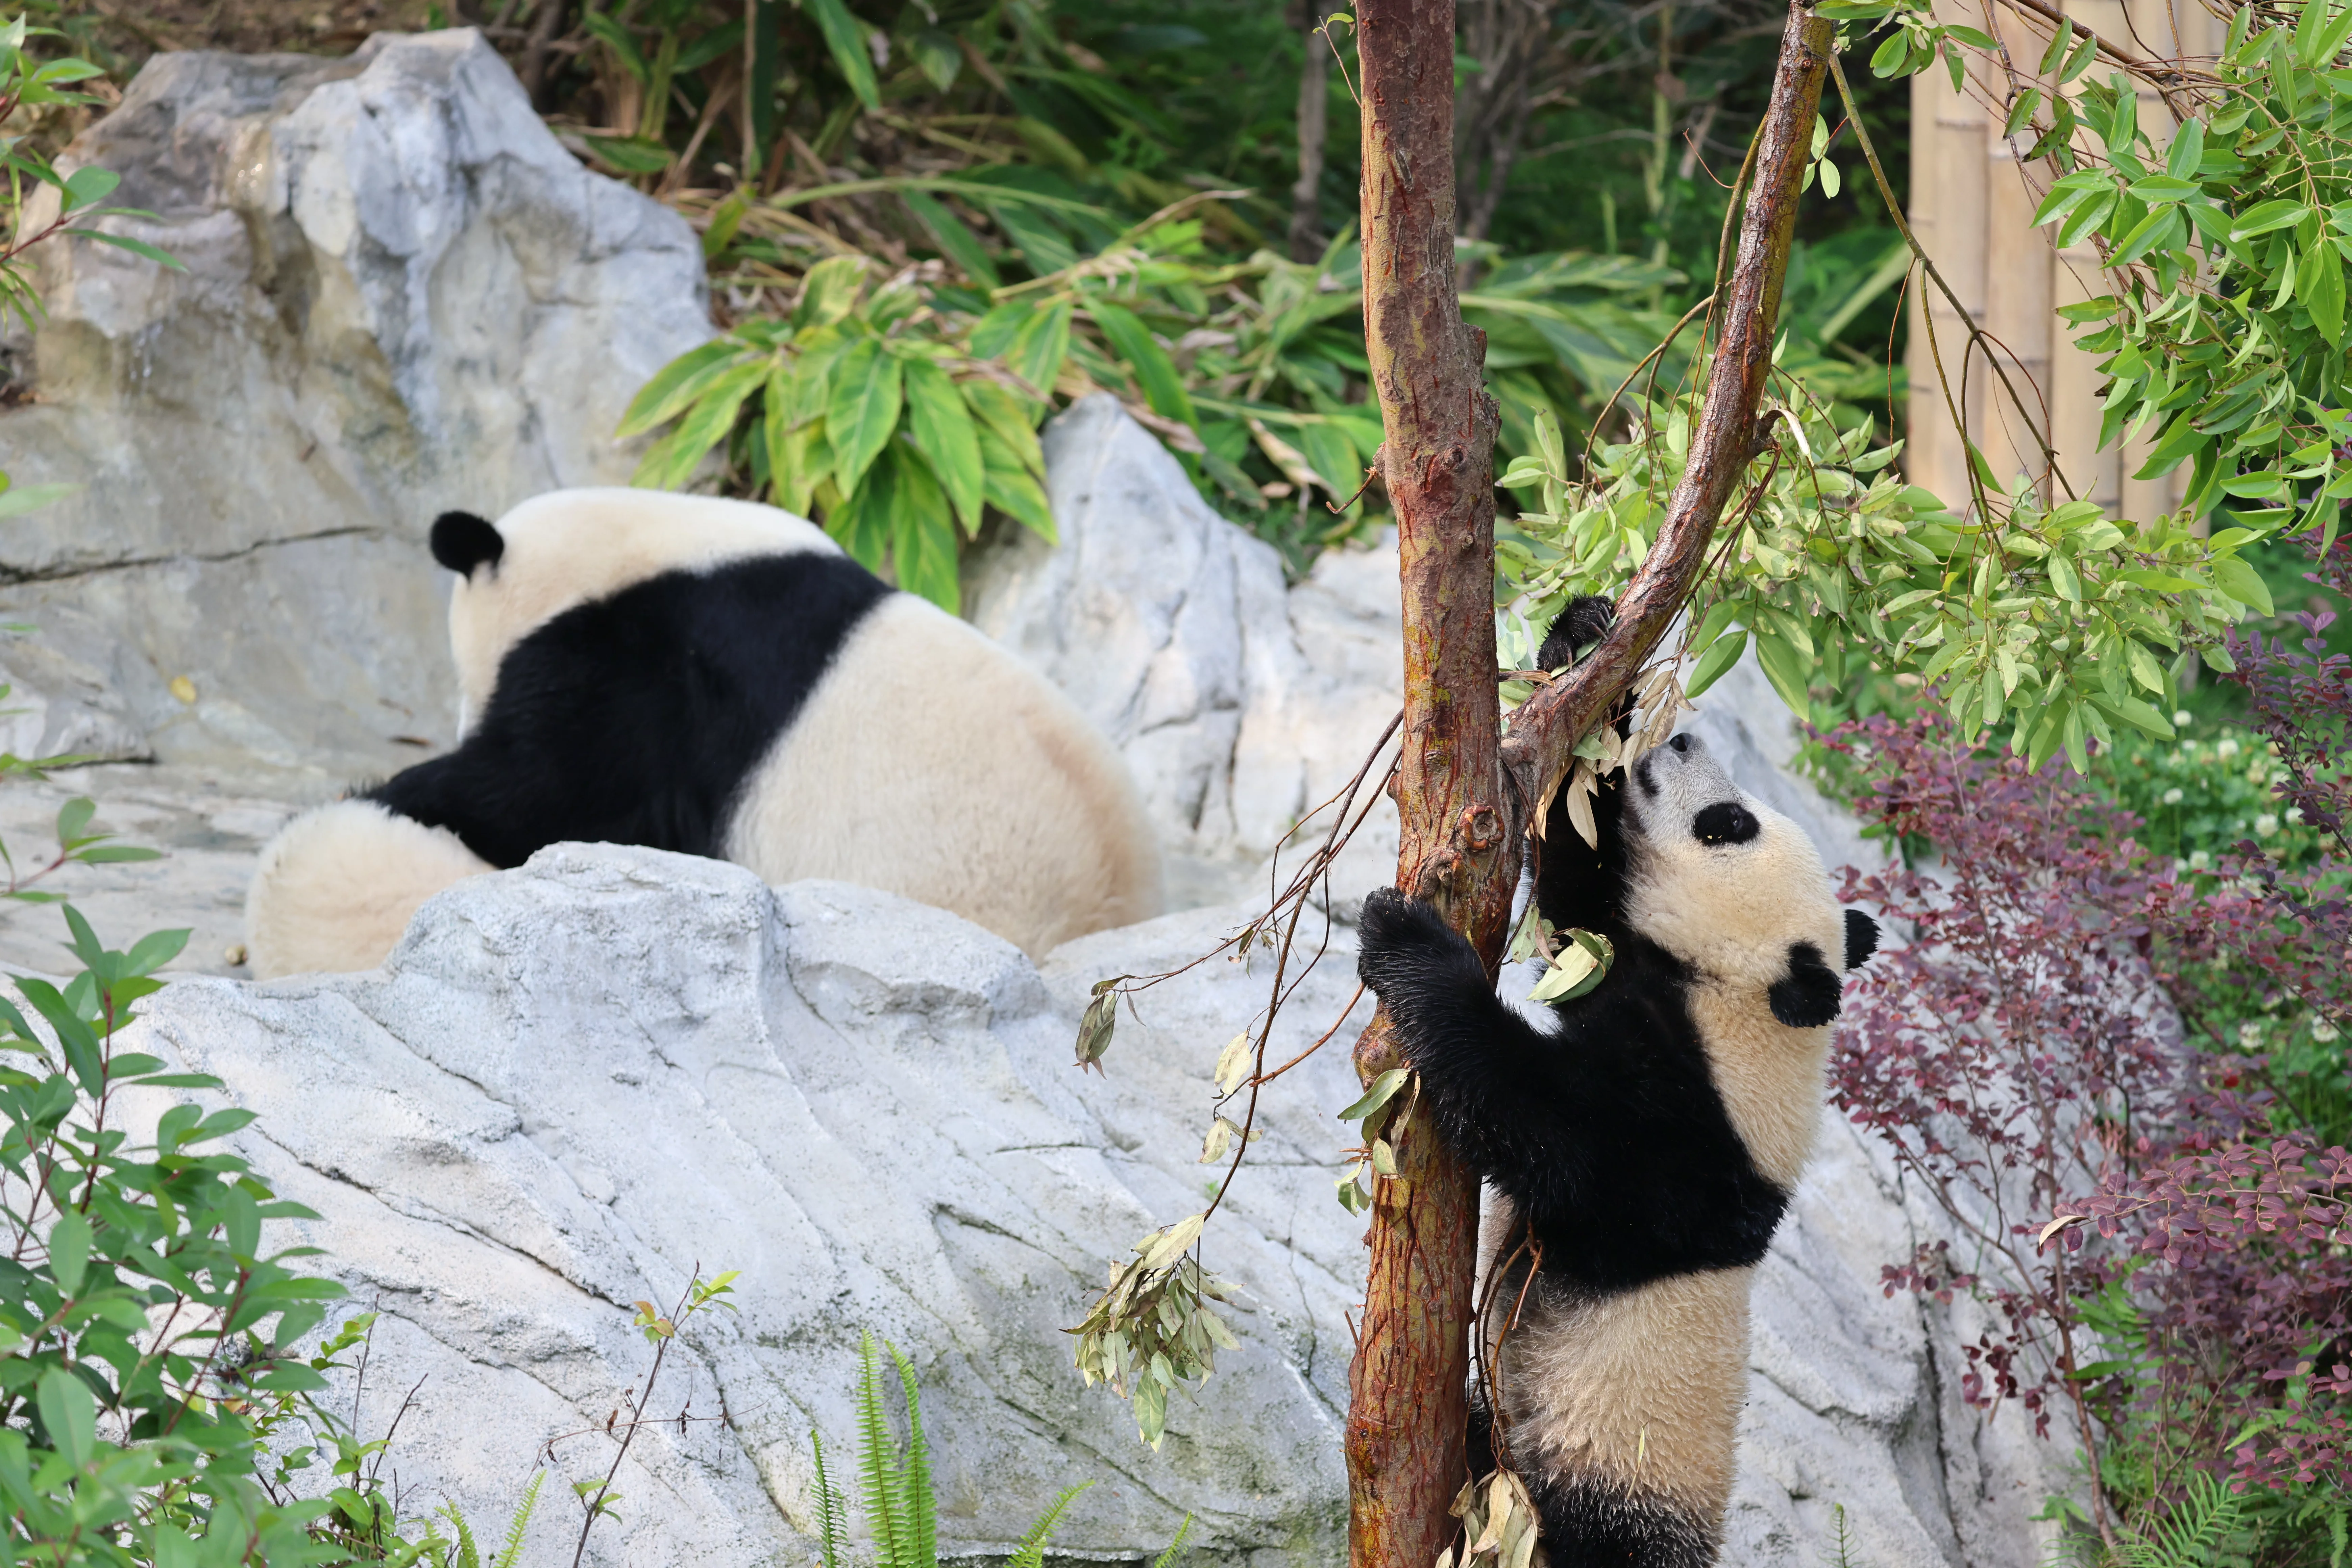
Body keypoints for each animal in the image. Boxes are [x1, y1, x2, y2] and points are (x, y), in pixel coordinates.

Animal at [1352, 597, 1877, 1568]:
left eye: (1727, 825)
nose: (1683, 743)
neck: (1743, 1010)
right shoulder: (1627, 968)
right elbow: (1578, 883)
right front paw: (1590, 645)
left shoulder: (1689, 1135)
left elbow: (1548, 1131)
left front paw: (1409, 944)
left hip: (1599, 1490)